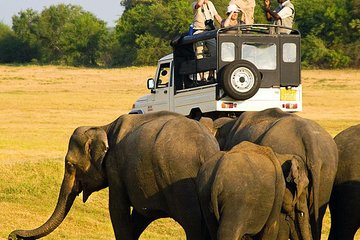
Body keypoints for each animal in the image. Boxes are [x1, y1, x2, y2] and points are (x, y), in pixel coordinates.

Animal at [9, 111, 219, 240]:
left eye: (69, 165)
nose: (12, 235)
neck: (104, 126)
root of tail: (206, 151)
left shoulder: (115, 168)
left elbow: (117, 210)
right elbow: (139, 216)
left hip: (183, 189)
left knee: (193, 226)